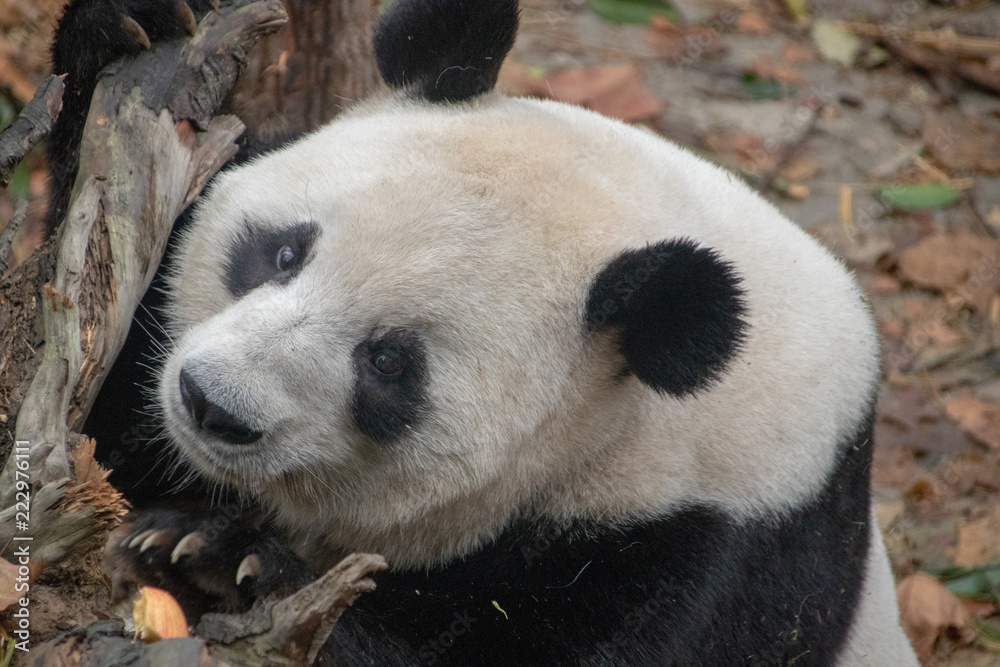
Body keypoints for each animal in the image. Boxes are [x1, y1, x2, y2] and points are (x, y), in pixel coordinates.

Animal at [49, 0, 918, 664]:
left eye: (390, 361)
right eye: (285, 251)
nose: (212, 404)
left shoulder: (712, 547)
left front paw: (221, 560)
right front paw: (125, 28)